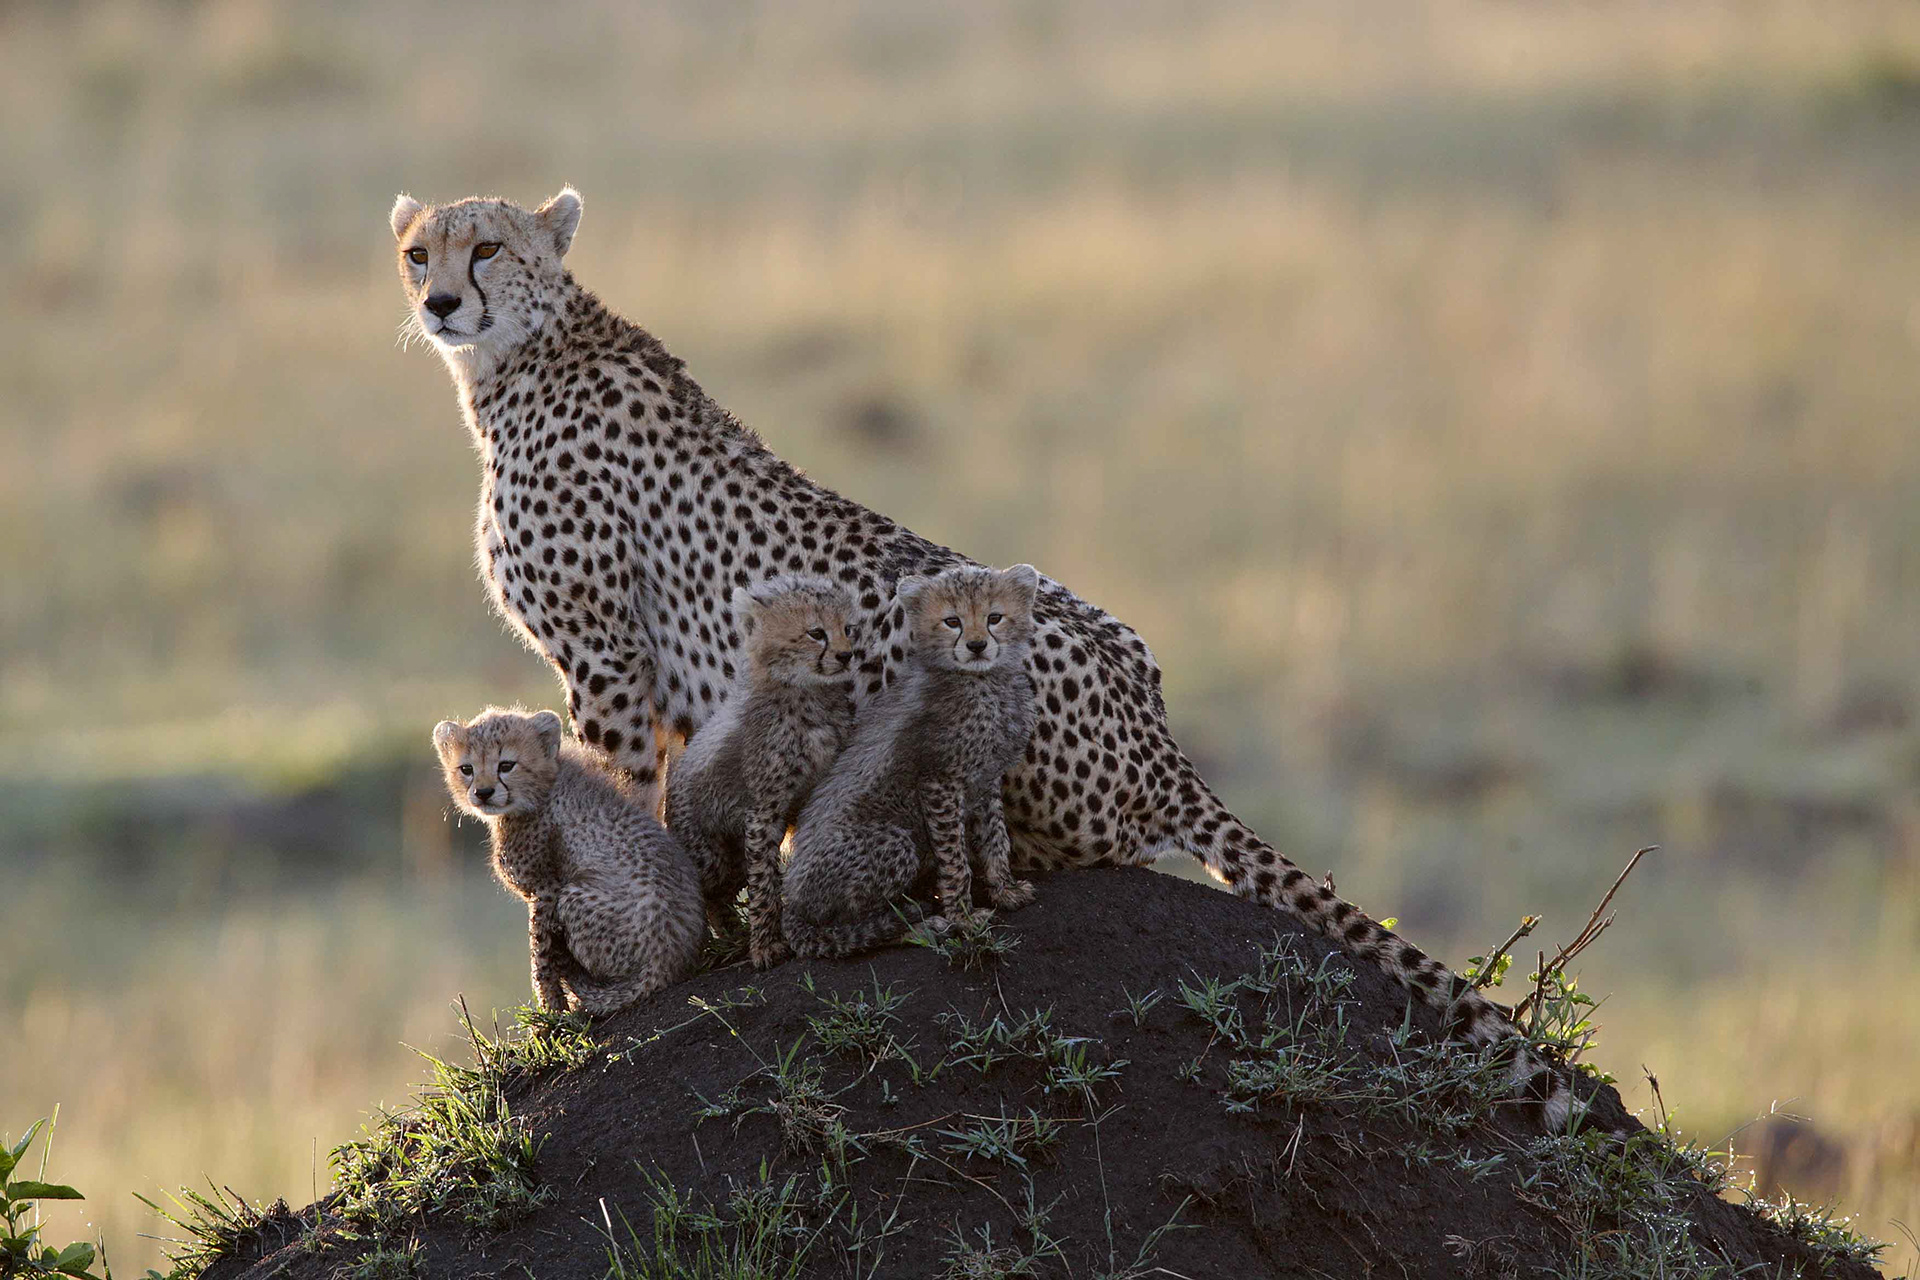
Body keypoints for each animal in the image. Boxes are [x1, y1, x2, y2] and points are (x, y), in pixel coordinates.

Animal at [432, 706, 704, 1015]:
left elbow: (540, 951)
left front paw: (550, 1009)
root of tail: (667, 960)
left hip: (575, 895)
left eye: (506, 765)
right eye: (467, 769)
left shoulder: (546, 890)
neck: (542, 787)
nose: (483, 793)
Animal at [663, 575, 859, 969]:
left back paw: (732, 937)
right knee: (708, 892)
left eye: (847, 628)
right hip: (711, 854)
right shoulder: (762, 811)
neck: (805, 696)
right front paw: (767, 945)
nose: (846, 655)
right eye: (816, 632)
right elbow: (765, 881)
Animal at [783, 564, 1041, 959]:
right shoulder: (939, 781)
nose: (977, 646)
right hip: (894, 843)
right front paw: (964, 918)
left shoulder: (985, 779)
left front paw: (1004, 890)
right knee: (849, 929)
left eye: (994, 617)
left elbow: (996, 838)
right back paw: (921, 927)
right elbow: (956, 861)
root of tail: (792, 903)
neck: (984, 683)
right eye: (952, 621)